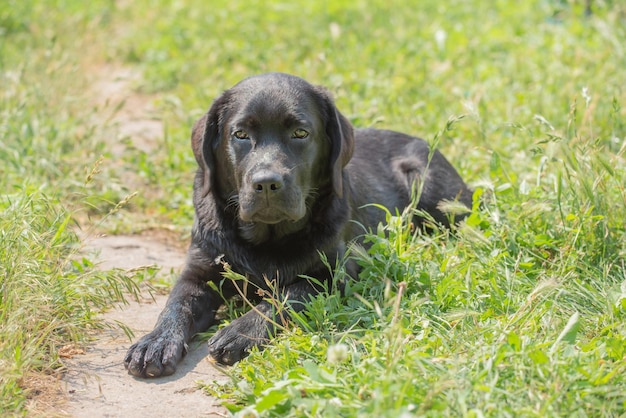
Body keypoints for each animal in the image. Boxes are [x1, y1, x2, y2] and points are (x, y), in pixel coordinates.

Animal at [124, 73, 470, 378]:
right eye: (240, 135)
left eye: (300, 133)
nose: (266, 183)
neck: (267, 238)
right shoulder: (201, 269)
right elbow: (177, 303)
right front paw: (156, 342)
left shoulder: (337, 273)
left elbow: (290, 293)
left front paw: (241, 331)